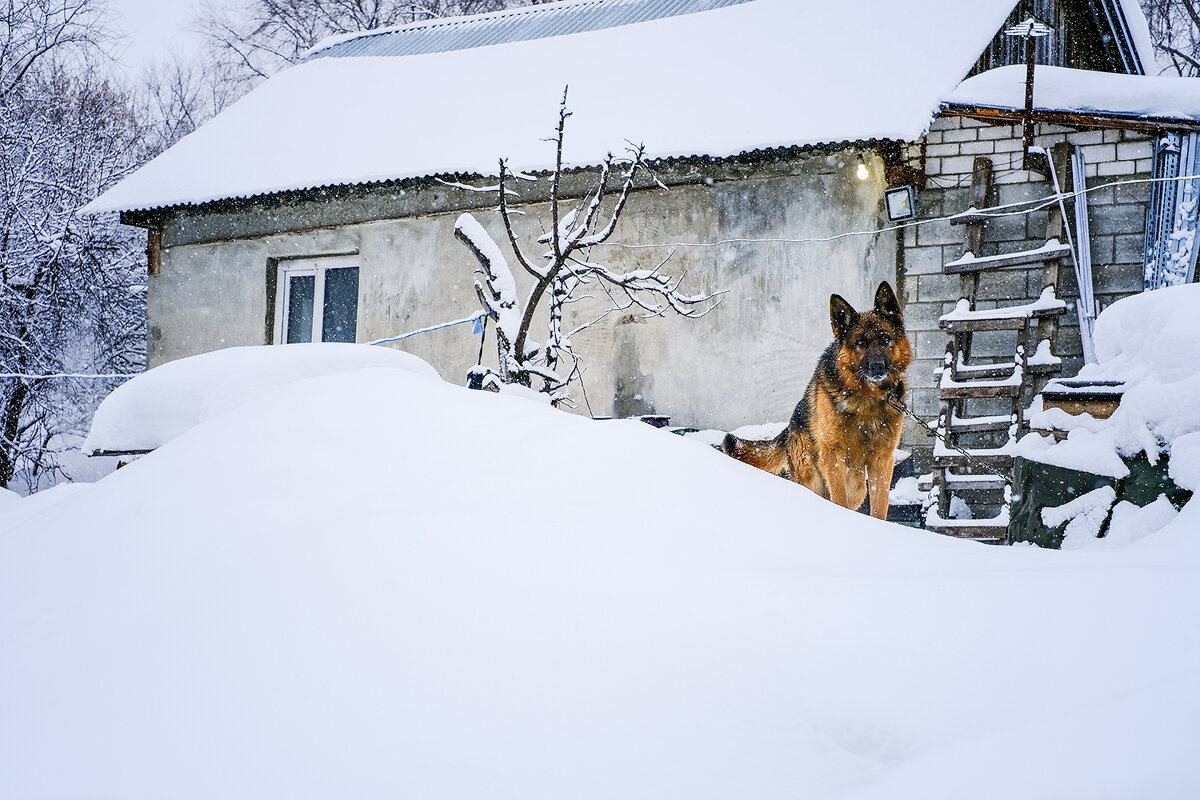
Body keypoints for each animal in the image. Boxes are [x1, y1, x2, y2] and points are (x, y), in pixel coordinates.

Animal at [720, 281, 907, 520]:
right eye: (860, 343)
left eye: (885, 339)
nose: (877, 367)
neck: (867, 400)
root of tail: (789, 429)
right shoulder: (834, 458)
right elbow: (838, 499)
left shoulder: (882, 461)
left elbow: (880, 506)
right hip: (814, 477)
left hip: (857, 485)